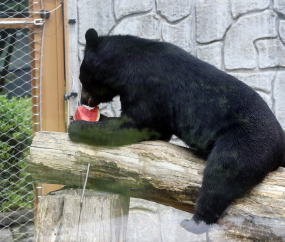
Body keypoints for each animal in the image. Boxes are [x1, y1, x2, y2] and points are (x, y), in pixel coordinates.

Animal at [69, 28, 284, 234]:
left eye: (82, 79)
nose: (83, 100)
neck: (124, 64)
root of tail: (280, 144)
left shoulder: (147, 87)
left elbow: (137, 125)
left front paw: (77, 126)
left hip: (246, 142)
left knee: (221, 175)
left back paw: (194, 222)